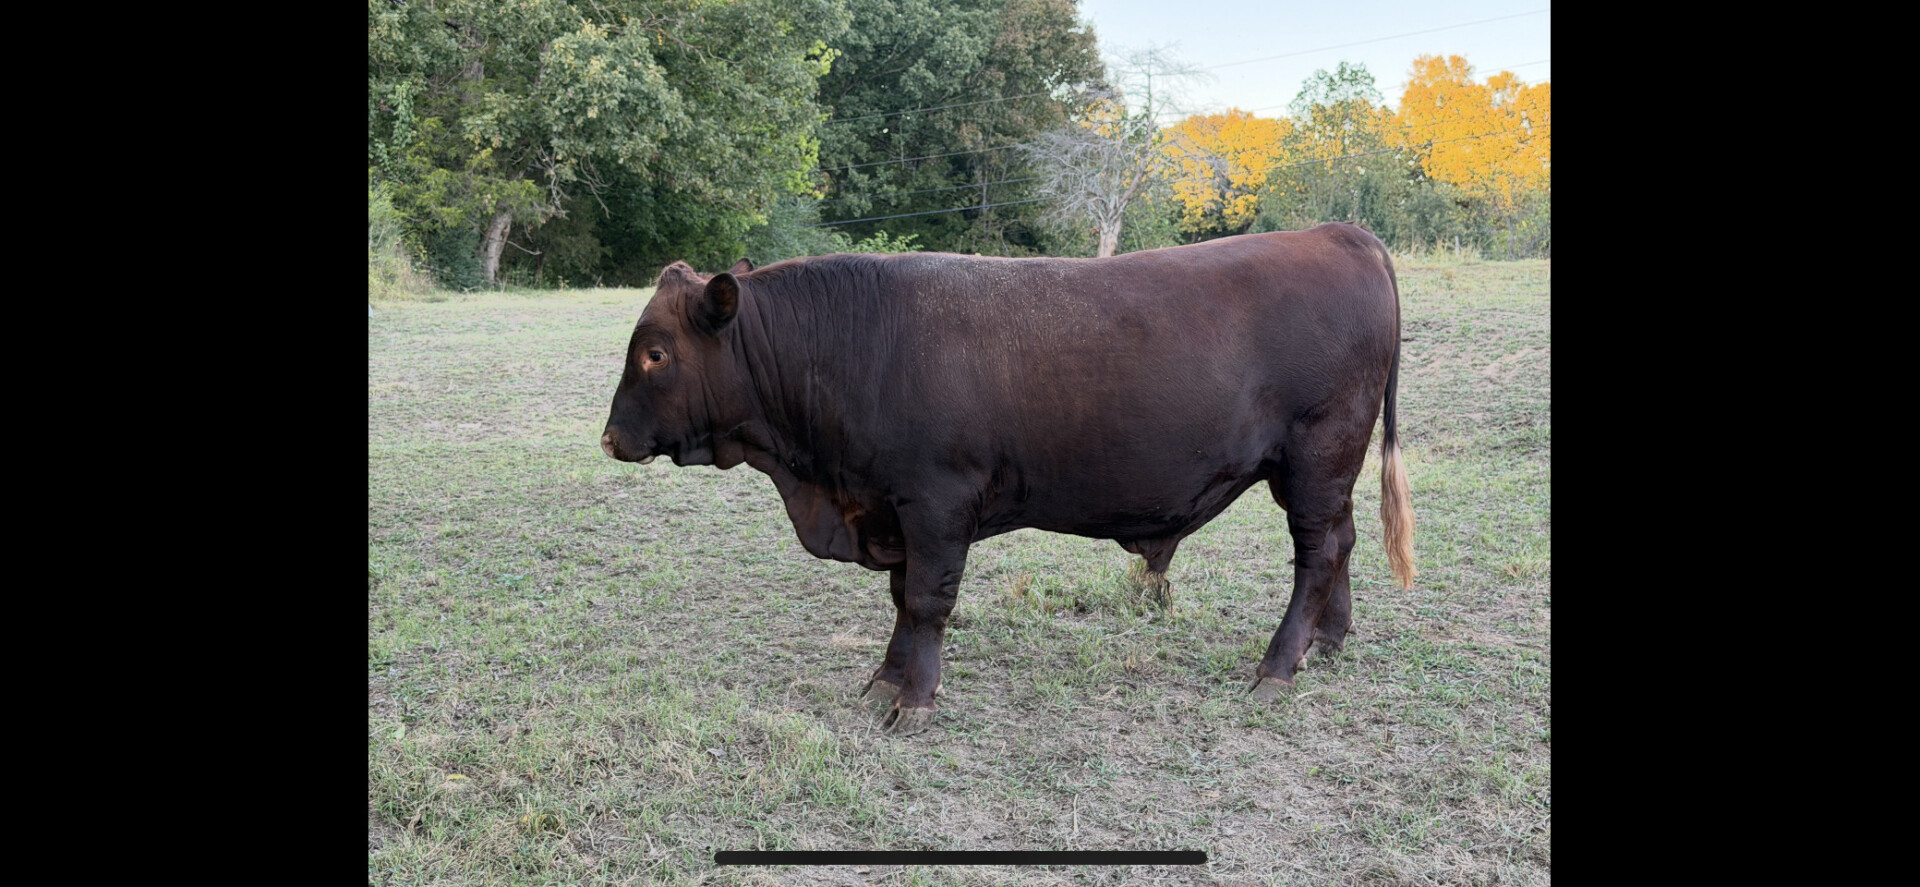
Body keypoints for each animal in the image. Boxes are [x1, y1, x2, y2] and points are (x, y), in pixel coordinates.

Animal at [601, 222, 1415, 735]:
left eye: (655, 354)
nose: (610, 437)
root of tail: (1339, 233)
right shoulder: (895, 509)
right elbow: (902, 601)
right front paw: (885, 681)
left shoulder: (936, 503)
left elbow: (926, 601)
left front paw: (914, 699)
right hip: (1315, 469)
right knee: (1340, 542)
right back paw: (1327, 643)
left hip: (1318, 452)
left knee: (1316, 553)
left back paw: (1278, 666)